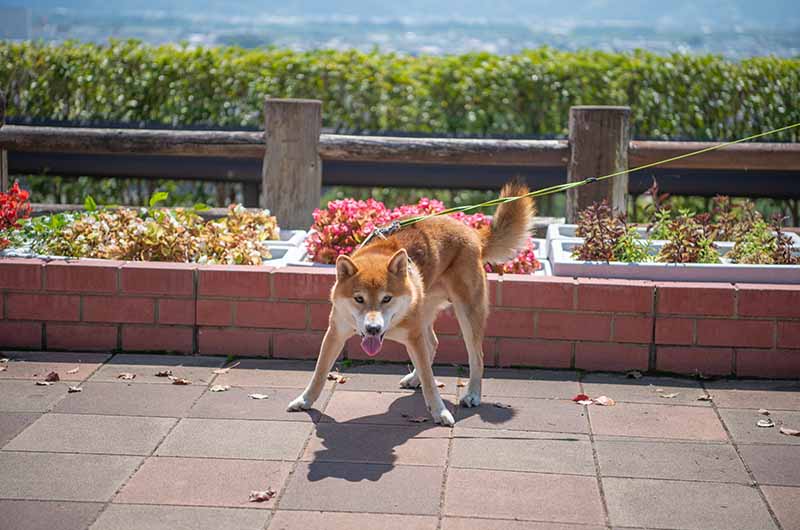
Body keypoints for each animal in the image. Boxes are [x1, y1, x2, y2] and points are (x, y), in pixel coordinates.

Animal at [290, 182, 536, 424]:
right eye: (359, 299)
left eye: (386, 298)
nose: (373, 328)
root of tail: (473, 233)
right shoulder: (335, 333)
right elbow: (319, 372)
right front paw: (305, 400)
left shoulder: (413, 336)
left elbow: (429, 379)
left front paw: (439, 411)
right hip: (424, 312)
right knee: (432, 344)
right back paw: (414, 378)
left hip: (466, 314)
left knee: (476, 356)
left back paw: (472, 394)